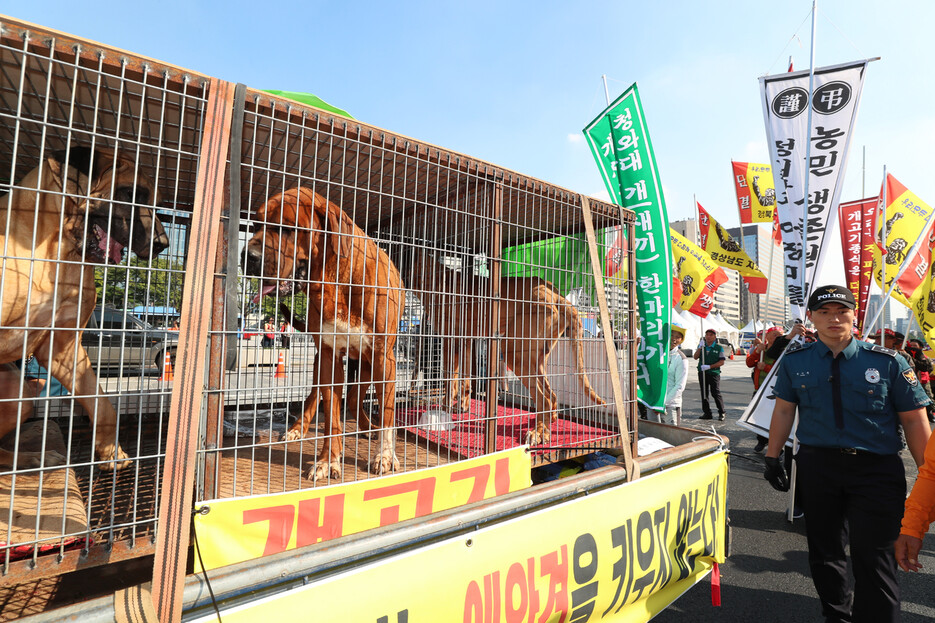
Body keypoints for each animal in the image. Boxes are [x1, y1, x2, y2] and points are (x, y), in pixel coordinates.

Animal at [0, 146, 170, 468]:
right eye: (130, 193)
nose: (161, 243)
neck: (57, 252)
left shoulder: (63, 348)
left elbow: (102, 403)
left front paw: (110, 452)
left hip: (20, 392)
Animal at [245, 188, 402, 480]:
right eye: (255, 225)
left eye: (288, 228)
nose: (247, 255)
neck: (336, 280)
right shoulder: (329, 356)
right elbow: (331, 417)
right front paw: (328, 461)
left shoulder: (384, 358)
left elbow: (387, 414)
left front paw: (385, 456)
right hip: (321, 363)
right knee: (316, 396)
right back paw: (297, 429)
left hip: (367, 364)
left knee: (354, 398)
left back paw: (368, 428)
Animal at [408, 251, 608, 446]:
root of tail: (556, 294)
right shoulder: (465, 341)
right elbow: (464, 380)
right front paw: (461, 406)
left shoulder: (451, 341)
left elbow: (450, 379)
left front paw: (444, 408)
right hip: (535, 357)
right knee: (552, 396)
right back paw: (545, 425)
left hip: (513, 350)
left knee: (545, 398)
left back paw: (537, 433)